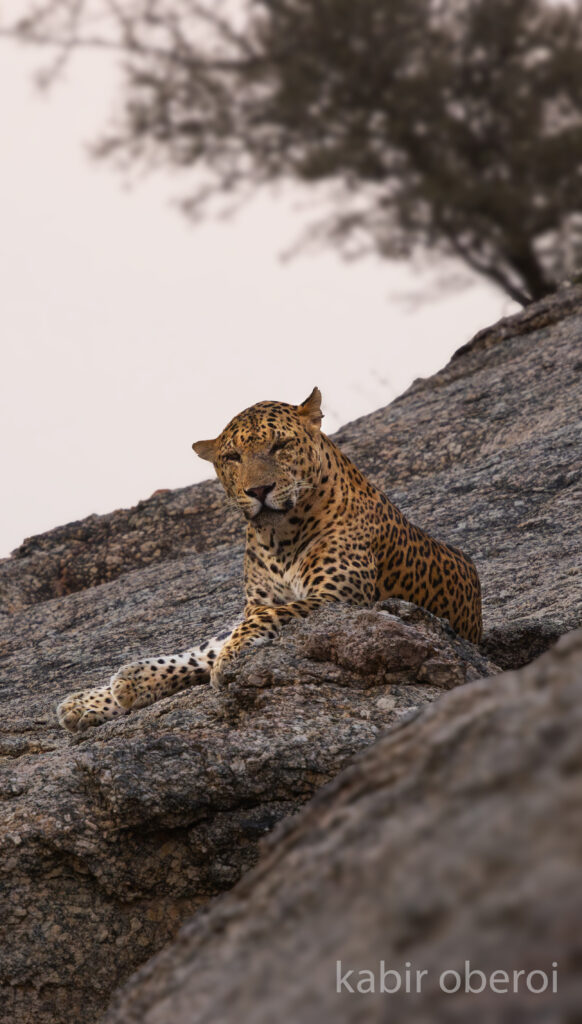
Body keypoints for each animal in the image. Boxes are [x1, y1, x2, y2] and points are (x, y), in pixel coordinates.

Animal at [57, 387, 482, 732]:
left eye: (280, 446)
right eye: (232, 456)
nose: (258, 490)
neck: (279, 536)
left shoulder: (337, 598)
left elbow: (260, 624)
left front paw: (230, 661)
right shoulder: (259, 602)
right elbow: (226, 638)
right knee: (202, 649)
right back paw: (102, 694)